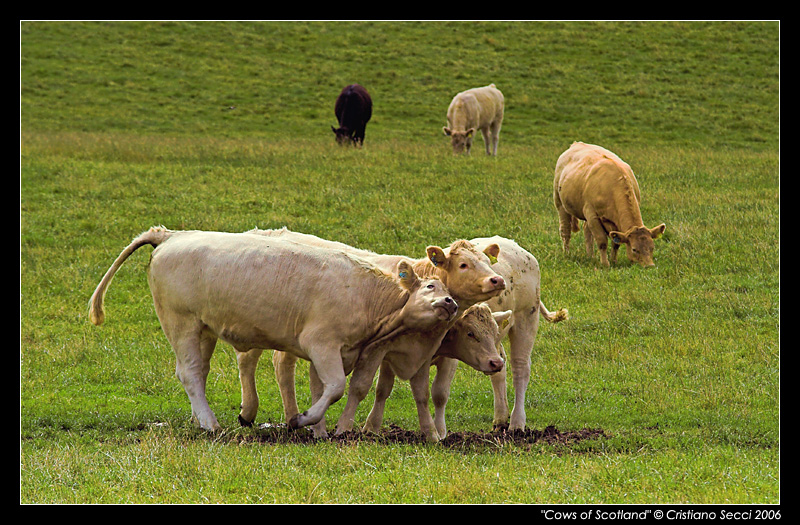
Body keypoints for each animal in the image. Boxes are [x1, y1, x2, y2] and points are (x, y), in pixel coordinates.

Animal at [86, 226, 456, 434]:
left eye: (444, 288)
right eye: (429, 287)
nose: (451, 302)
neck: (367, 294)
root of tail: (171, 234)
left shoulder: (335, 351)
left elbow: (321, 388)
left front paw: (319, 431)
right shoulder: (321, 343)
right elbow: (335, 387)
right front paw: (302, 420)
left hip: (203, 328)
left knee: (198, 372)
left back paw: (200, 419)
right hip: (181, 322)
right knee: (189, 373)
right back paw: (210, 424)